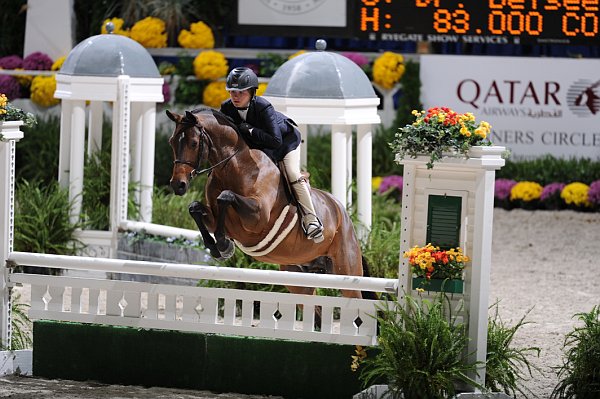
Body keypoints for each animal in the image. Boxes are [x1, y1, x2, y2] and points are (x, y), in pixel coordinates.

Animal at [165, 108, 370, 298]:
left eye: (193, 143)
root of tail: (341, 211)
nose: (178, 184)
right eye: (171, 142)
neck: (236, 167)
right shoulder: (216, 218)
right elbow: (195, 208)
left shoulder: (258, 218)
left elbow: (226, 196)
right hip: (298, 277)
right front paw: (217, 247)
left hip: (346, 272)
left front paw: (223, 244)